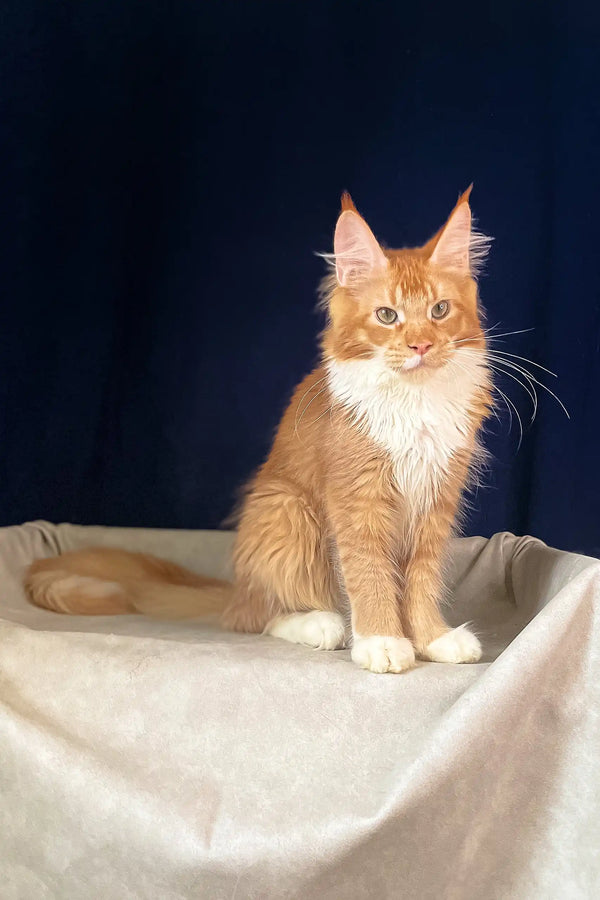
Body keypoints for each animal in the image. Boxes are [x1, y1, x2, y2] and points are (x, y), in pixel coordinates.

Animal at [24, 186, 492, 672]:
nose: (420, 345)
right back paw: (322, 624)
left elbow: (420, 581)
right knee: (256, 616)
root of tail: (237, 588)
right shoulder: (357, 499)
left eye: (439, 310)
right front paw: (382, 641)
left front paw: (432, 638)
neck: (415, 402)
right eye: (387, 316)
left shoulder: (436, 502)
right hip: (286, 512)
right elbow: (370, 573)